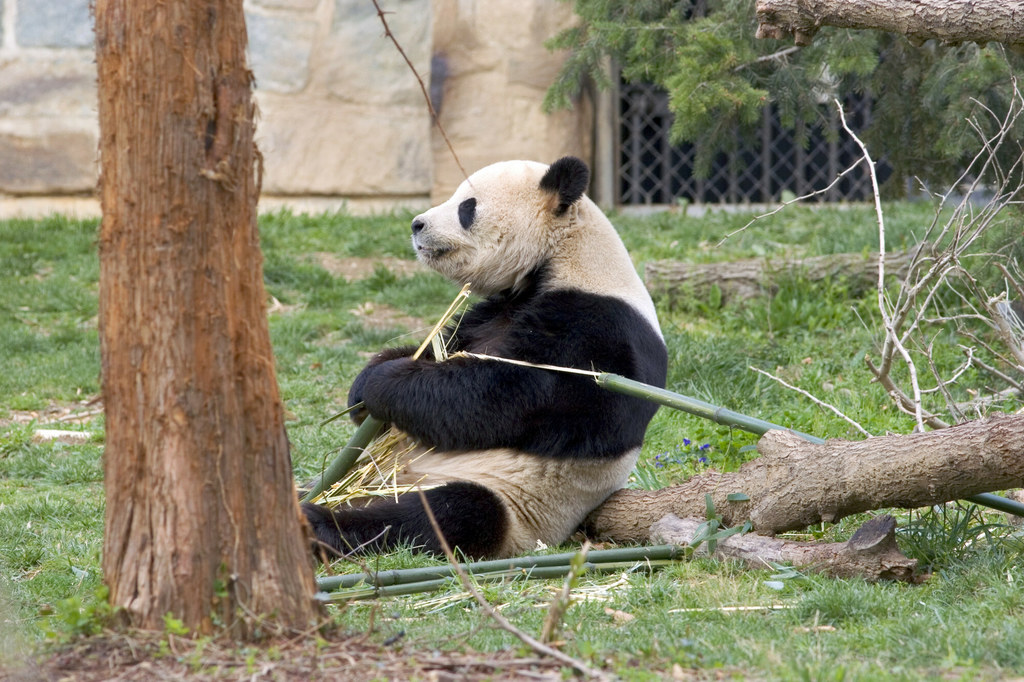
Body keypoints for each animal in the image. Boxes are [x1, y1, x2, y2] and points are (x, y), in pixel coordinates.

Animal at [299, 155, 667, 557]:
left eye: (467, 207)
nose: (416, 224)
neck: (567, 257)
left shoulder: (598, 330)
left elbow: (501, 397)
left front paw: (384, 383)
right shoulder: (492, 312)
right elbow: (443, 348)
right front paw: (364, 386)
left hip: (514, 504)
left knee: (450, 511)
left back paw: (320, 523)